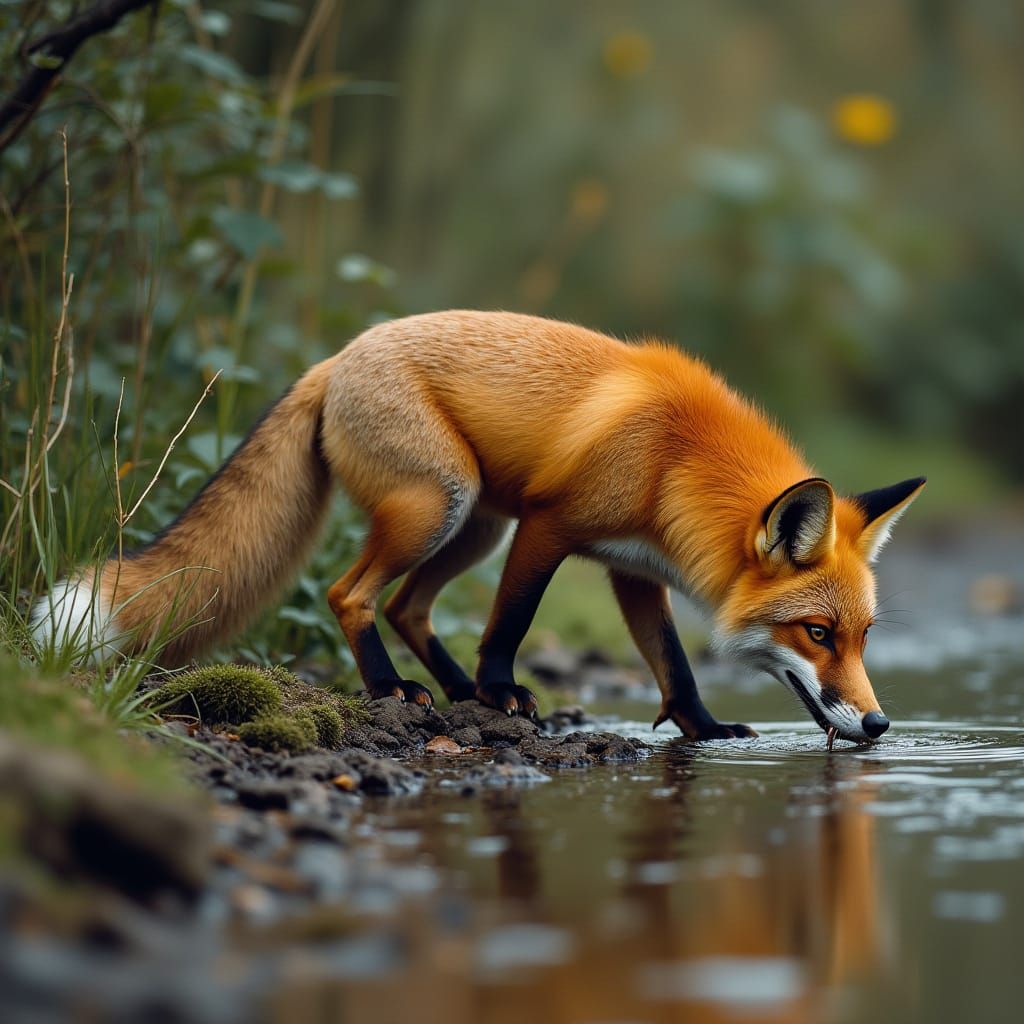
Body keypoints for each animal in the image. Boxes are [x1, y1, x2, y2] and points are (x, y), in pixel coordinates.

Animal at [33, 311, 925, 742]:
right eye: (817, 634)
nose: (880, 724)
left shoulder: (633, 568)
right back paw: (399, 689)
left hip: (473, 527)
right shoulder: (549, 525)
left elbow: (672, 664)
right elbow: (512, 621)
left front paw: (702, 729)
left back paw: (451, 691)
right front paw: (502, 690)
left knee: (407, 606)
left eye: (862, 638)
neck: (673, 460)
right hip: (445, 504)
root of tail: (336, 358)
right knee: (351, 595)